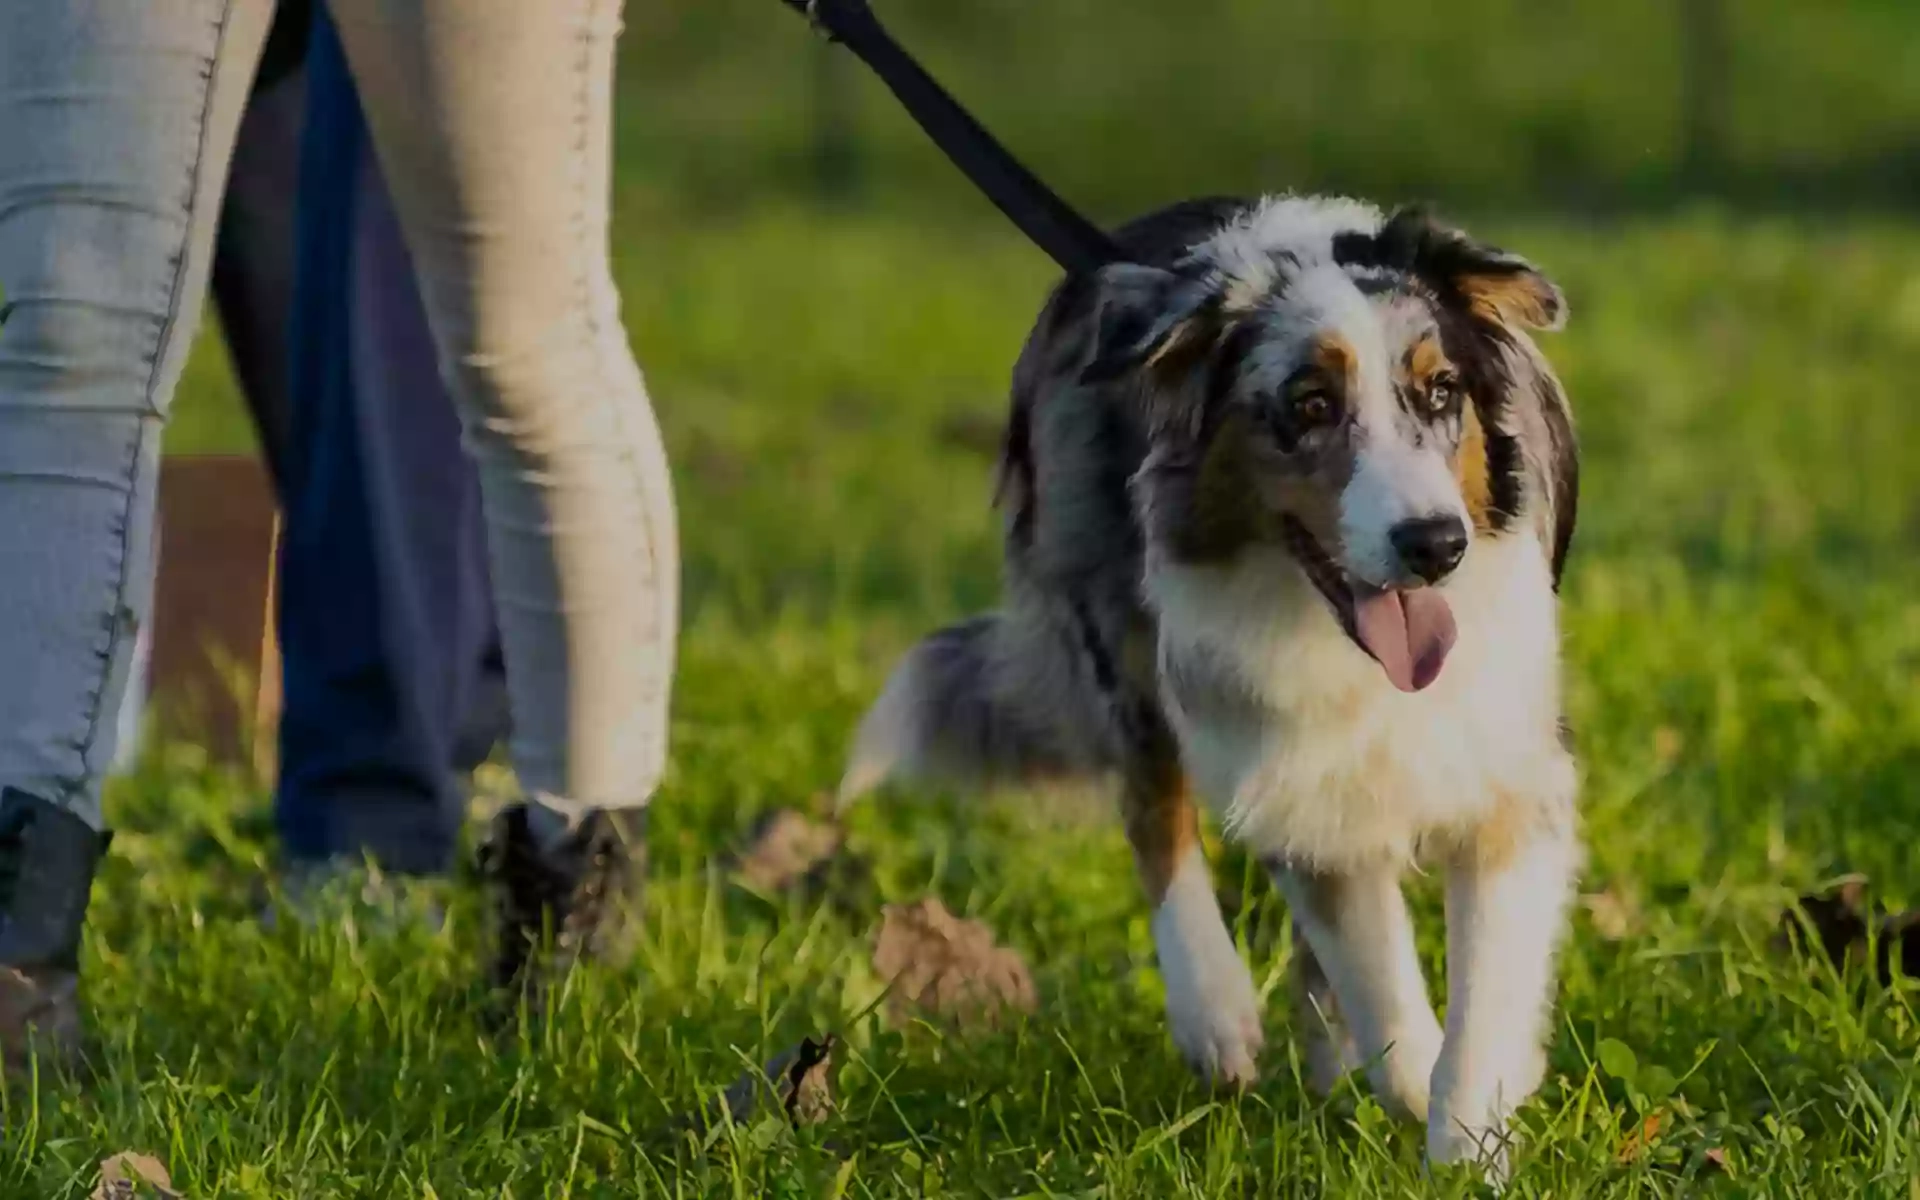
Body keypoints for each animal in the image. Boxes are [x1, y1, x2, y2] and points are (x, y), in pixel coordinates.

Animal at [833, 192, 1582, 1167]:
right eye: (1310, 405)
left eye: (1441, 392)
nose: (1435, 545)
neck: (1347, 649)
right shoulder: (1302, 781)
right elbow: (1375, 969)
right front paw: (1414, 1084)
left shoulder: (1506, 772)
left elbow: (1479, 994)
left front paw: (1466, 1138)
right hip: (1118, 627)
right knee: (1153, 807)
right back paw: (1216, 1013)